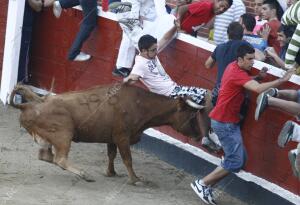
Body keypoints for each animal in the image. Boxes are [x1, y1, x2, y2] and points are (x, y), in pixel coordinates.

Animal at [8, 83, 211, 184]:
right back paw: (84, 174)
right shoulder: (123, 137)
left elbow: (111, 155)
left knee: (45, 156)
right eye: (191, 116)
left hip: (49, 137)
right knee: (60, 159)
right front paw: (135, 179)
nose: (199, 136)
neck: (141, 105)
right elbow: (127, 159)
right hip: (64, 134)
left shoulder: (112, 138)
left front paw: (111, 173)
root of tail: (30, 104)